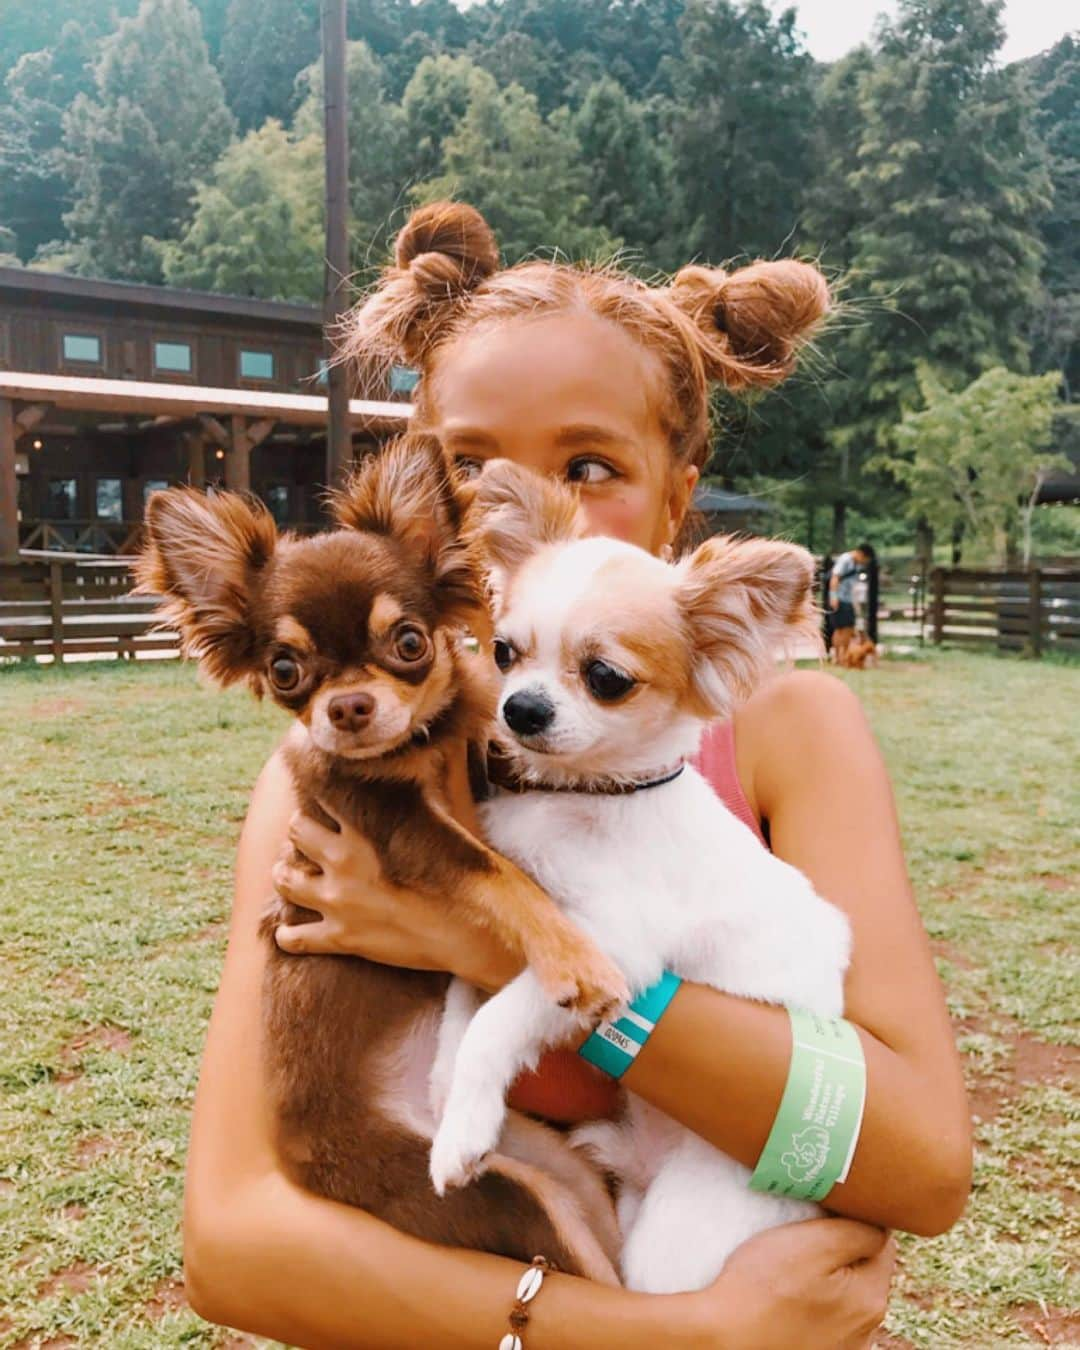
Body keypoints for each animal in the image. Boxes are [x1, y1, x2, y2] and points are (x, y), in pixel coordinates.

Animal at [137, 437, 623, 1279]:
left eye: (409, 643)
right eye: (285, 669)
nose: (348, 706)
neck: (419, 746)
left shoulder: (475, 750)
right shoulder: (396, 825)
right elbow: (498, 874)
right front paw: (575, 958)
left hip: (556, 1171)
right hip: (504, 1195)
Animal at [429, 467, 853, 1296]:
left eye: (606, 678)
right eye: (503, 651)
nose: (520, 708)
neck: (584, 800)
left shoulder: (613, 953)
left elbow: (497, 1018)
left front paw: (461, 1131)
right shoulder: (517, 924)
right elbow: (465, 1002)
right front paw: (447, 1089)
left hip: (681, 1241)